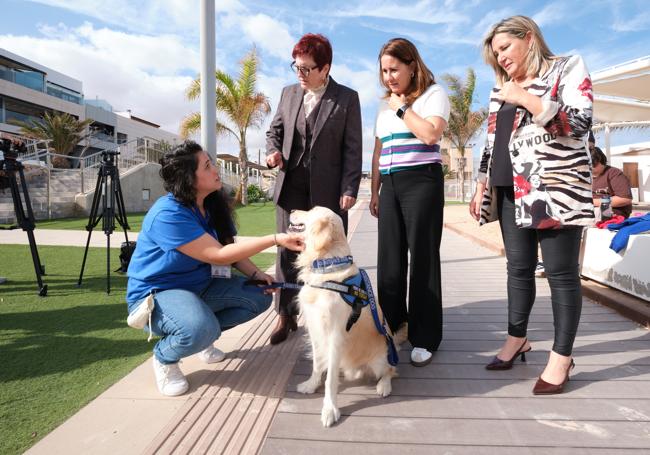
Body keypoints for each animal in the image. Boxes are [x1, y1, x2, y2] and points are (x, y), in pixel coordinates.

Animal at [290, 207, 402, 428]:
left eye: (311, 210)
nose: (291, 210)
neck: (326, 265)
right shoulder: (315, 329)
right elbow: (317, 364)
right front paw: (311, 385)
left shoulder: (335, 334)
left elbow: (330, 379)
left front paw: (330, 410)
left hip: (382, 357)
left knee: (391, 370)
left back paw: (384, 386)